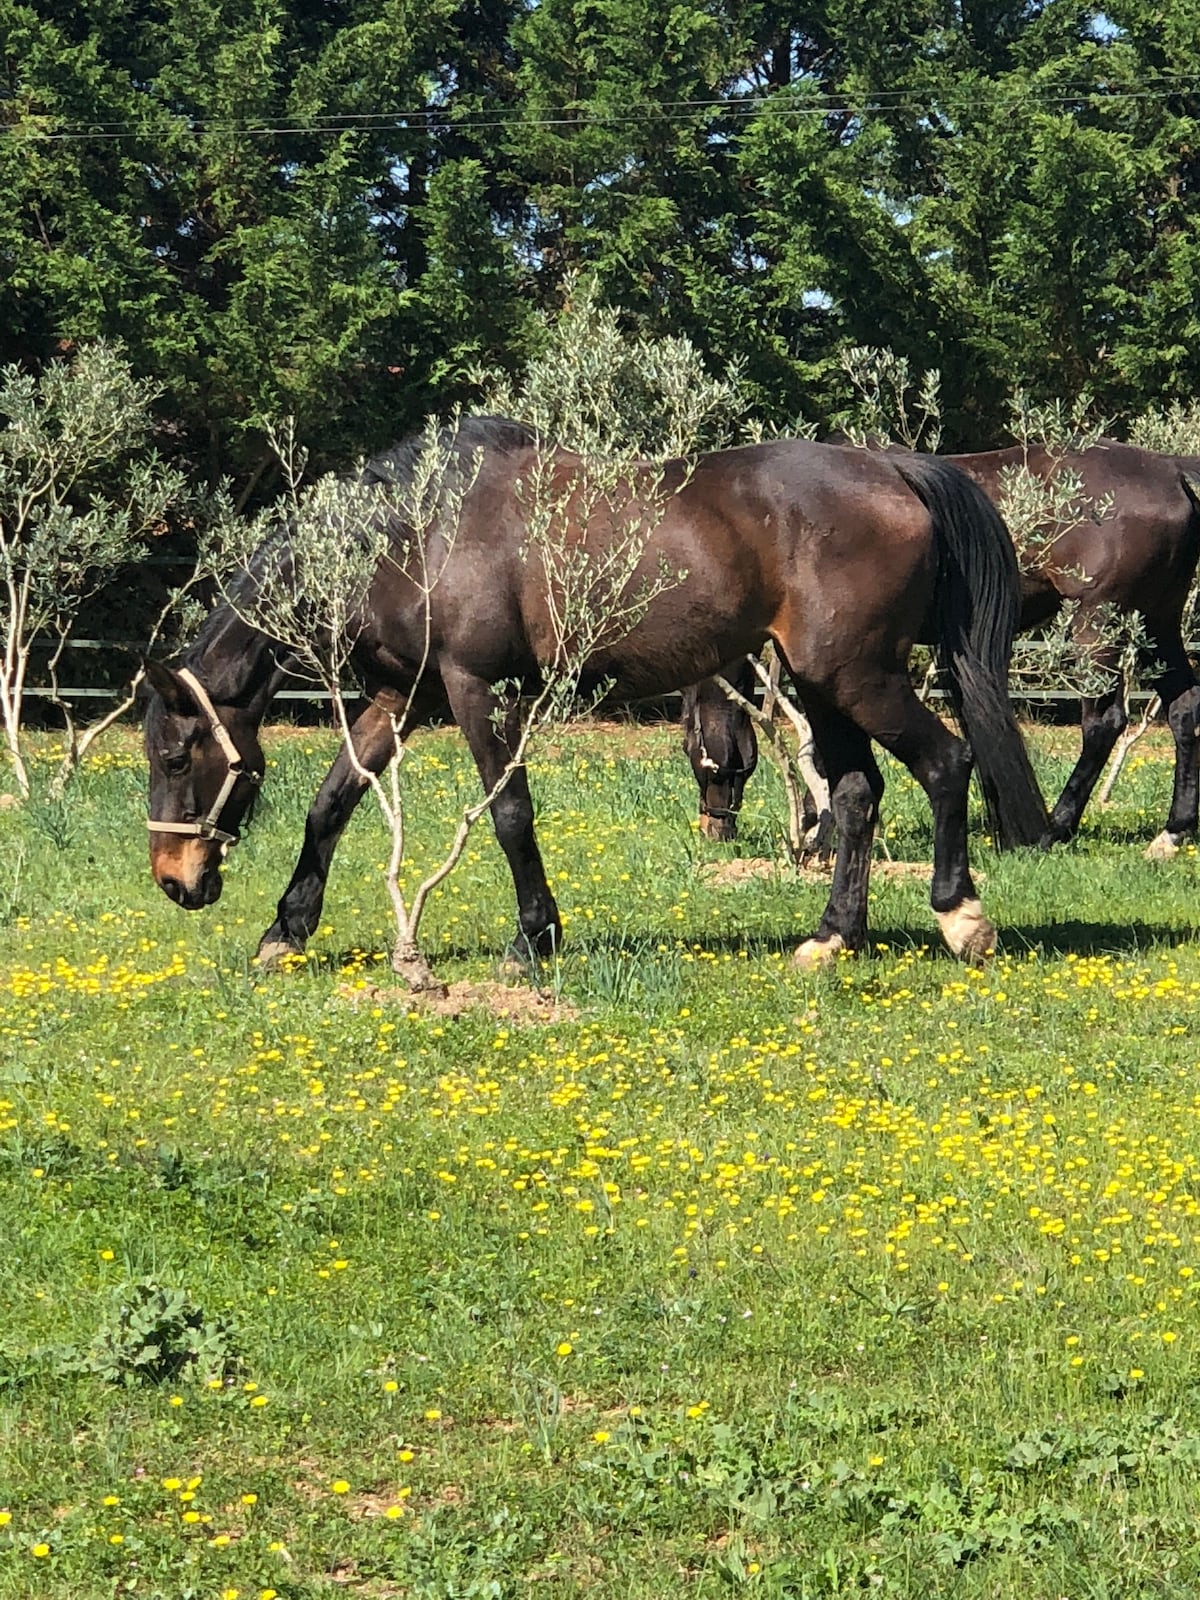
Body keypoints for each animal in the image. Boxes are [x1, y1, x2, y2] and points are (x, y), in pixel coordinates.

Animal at [140, 416, 1049, 960]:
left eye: (177, 757)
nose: (174, 880)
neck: (418, 534)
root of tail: (892, 466)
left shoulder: (478, 689)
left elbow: (509, 813)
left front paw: (534, 938)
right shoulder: (400, 699)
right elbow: (330, 804)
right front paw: (285, 930)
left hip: (857, 676)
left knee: (946, 764)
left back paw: (960, 917)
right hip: (824, 684)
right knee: (858, 795)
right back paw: (832, 939)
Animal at [691, 444, 1200, 857]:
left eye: (701, 757)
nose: (714, 831)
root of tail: (1170, 470)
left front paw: (826, 834)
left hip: (1099, 623)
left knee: (1104, 723)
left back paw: (1055, 827)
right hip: (1158, 621)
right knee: (1184, 708)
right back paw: (1172, 832)